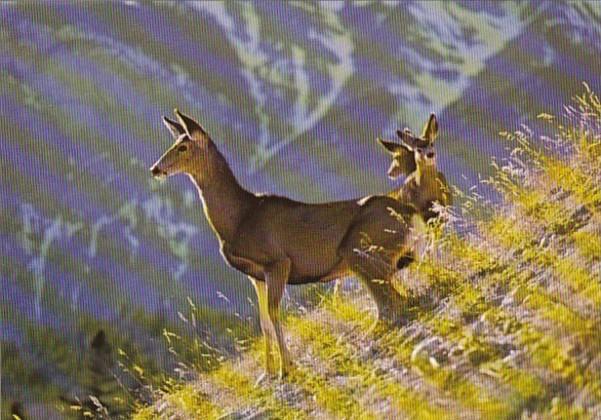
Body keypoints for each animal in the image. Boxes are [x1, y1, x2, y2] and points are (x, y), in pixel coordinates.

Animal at [149, 109, 418, 380]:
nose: (155, 169)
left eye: (182, 147)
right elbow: (263, 322)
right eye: (174, 142)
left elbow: (274, 313)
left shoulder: (277, 262)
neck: (238, 219)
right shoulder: (255, 275)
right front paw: (266, 372)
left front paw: (285, 368)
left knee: (391, 303)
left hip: (358, 251)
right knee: (396, 299)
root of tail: (410, 214)